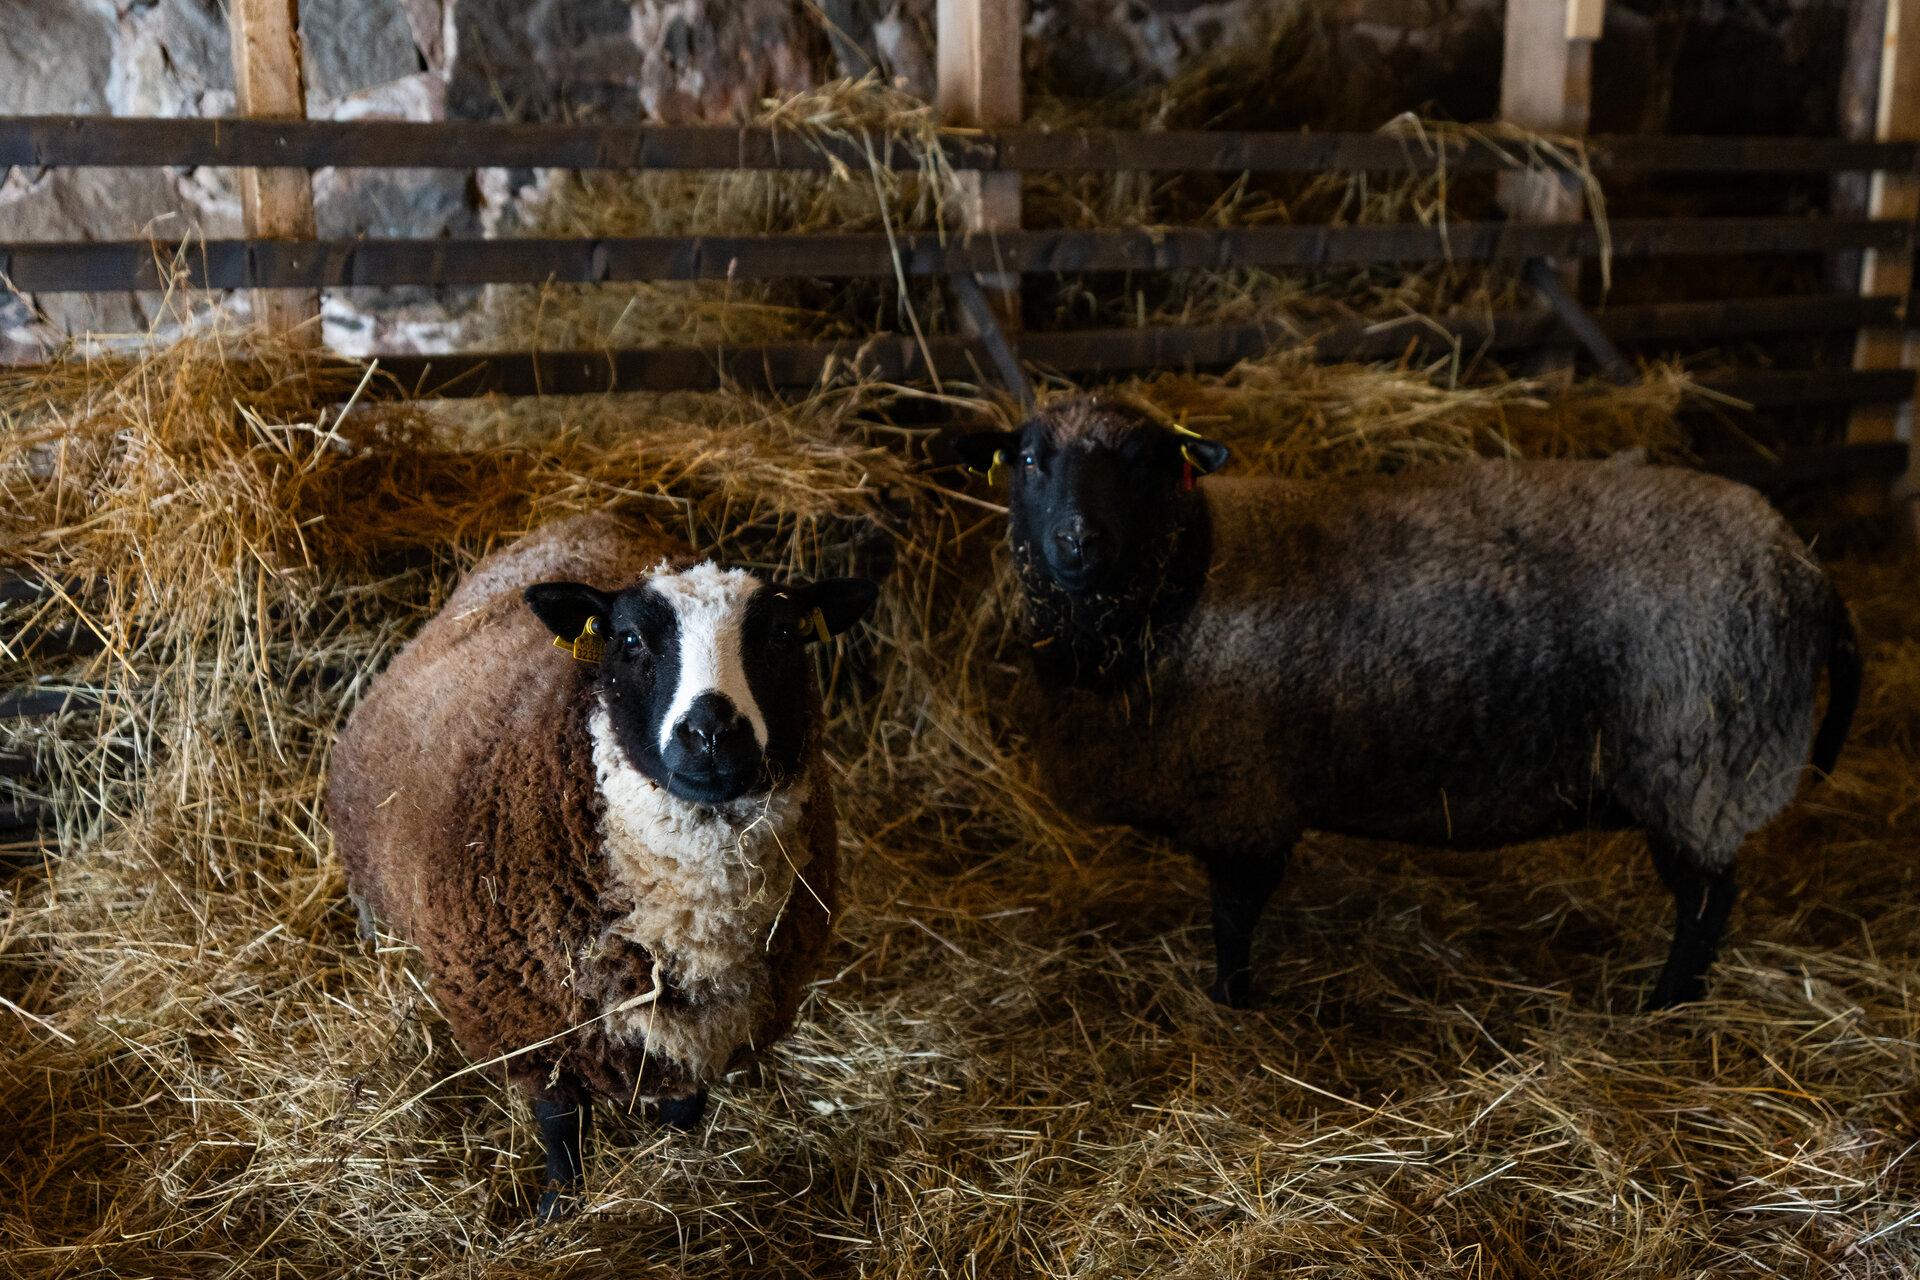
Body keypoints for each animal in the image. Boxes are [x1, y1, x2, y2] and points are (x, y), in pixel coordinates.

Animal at [328, 514, 879, 1220]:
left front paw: (675, 1169)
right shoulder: (532, 1023)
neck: (691, 924)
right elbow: (560, 1123)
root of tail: (579, 520)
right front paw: (559, 1208)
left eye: (783, 635)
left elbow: (682, 1110)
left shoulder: (706, 1033)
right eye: (631, 639)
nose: (712, 733)